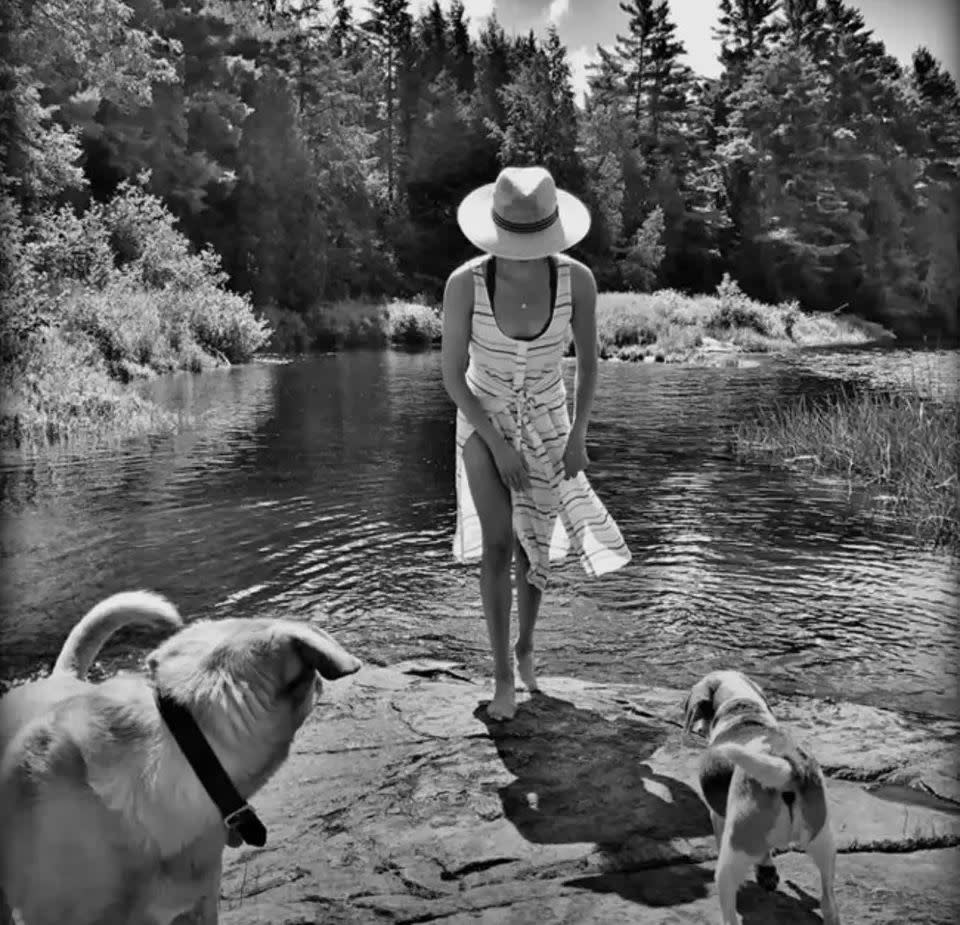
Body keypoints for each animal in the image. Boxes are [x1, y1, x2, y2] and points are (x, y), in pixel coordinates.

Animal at [684, 672, 840, 924]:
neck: (741, 709)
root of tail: (787, 767)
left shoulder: (717, 817)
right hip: (824, 844)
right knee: (829, 904)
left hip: (731, 858)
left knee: (730, 914)